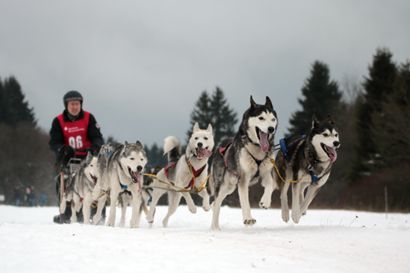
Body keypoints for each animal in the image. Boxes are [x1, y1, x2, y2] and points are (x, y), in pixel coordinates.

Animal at [210, 95, 278, 227]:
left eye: (272, 119)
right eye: (261, 118)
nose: (271, 129)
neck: (257, 149)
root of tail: (221, 145)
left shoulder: (266, 173)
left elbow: (270, 184)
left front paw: (265, 202)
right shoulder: (243, 179)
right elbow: (245, 201)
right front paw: (248, 219)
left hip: (230, 187)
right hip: (223, 185)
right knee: (216, 204)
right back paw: (215, 227)